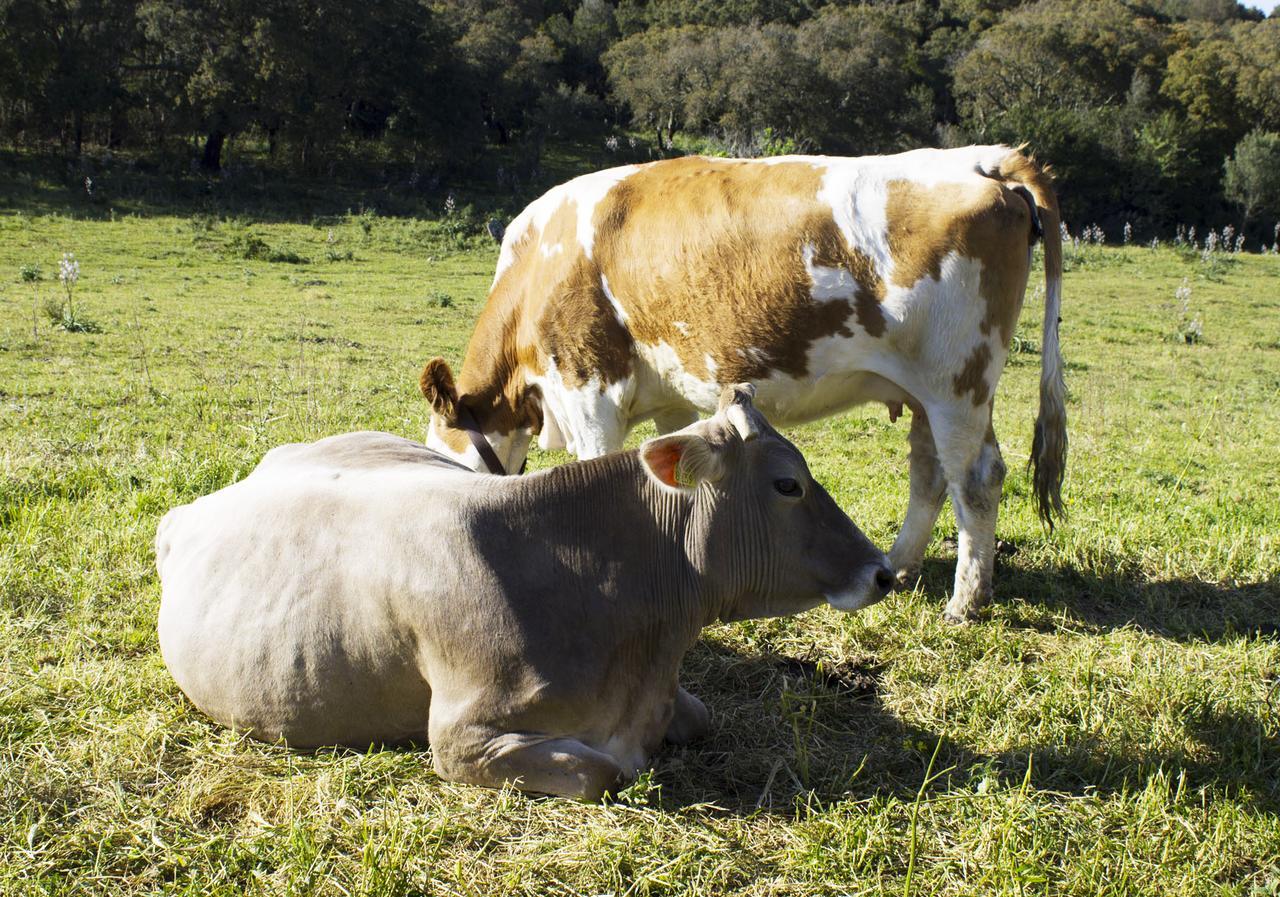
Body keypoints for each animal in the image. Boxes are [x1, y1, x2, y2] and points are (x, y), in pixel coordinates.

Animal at [422, 147, 1070, 621]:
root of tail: (982, 158)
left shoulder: (589, 387)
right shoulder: (670, 398)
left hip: (955, 381)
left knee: (977, 478)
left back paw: (966, 601)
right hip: (925, 392)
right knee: (930, 471)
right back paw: (902, 564)